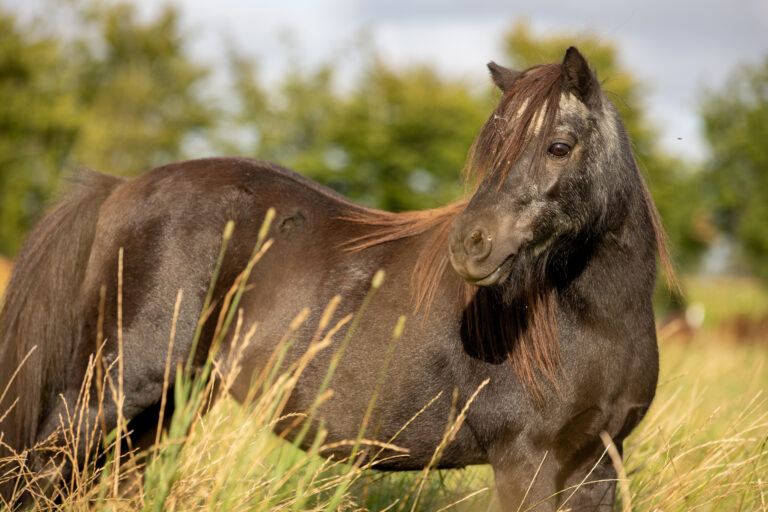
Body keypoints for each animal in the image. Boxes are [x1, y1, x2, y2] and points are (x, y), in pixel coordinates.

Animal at [0, 47, 672, 510]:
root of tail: (120, 187)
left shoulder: (595, 468)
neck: (583, 322)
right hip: (105, 396)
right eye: (491, 151)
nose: (470, 245)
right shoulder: (524, 463)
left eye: (560, 146)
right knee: (37, 471)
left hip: (159, 411)